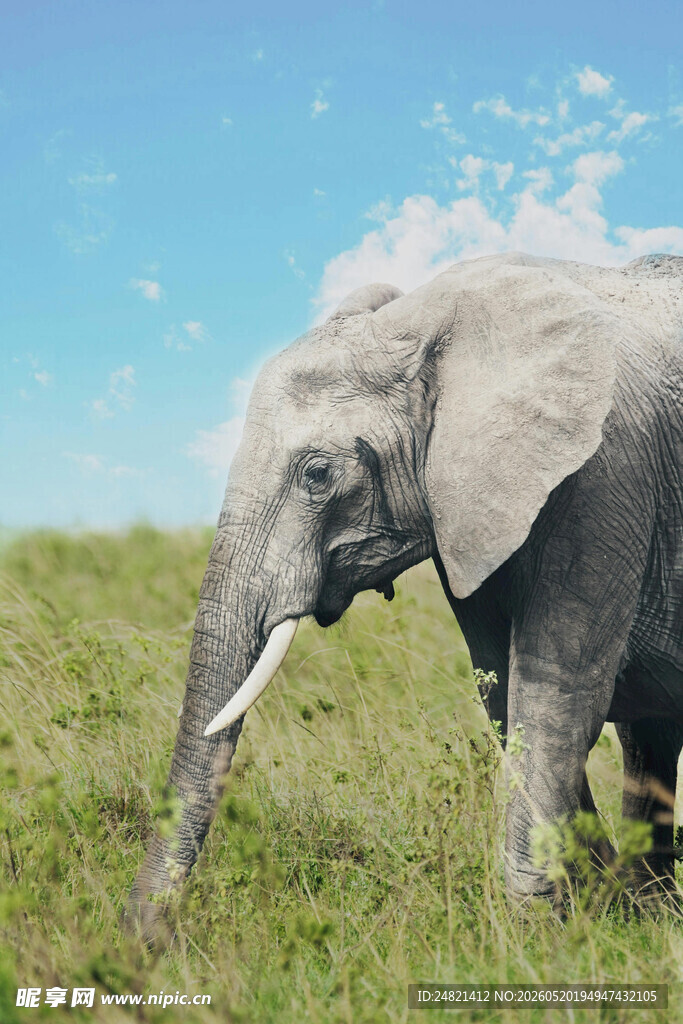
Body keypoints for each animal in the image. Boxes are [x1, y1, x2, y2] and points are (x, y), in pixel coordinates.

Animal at [127, 251, 682, 938]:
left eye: (318, 474)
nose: (147, 942)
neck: (425, 322)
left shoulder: (605, 474)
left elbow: (555, 693)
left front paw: (536, 932)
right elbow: (502, 692)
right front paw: (600, 904)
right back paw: (652, 903)